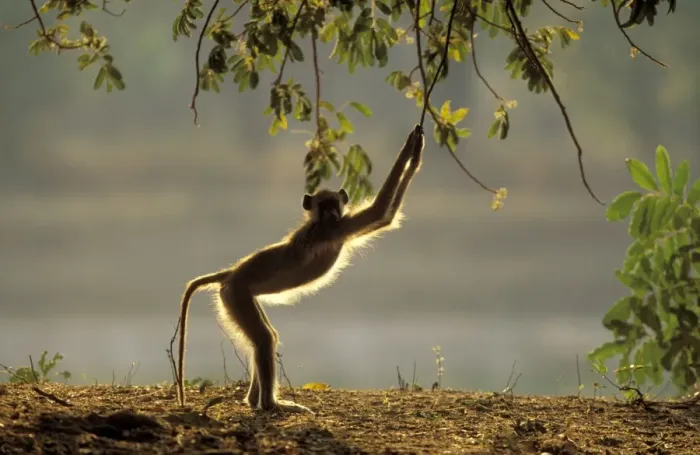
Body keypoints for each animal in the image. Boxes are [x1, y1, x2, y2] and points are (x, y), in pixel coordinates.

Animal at [176, 124, 425, 414]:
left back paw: (253, 400)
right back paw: (269, 404)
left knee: (266, 337)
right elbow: (380, 212)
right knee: (264, 339)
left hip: (236, 296)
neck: (321, 223)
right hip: (236, 293)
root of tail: (232, 272)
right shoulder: (335, 229)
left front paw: (416, 149)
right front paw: (412, 148)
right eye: (323, 206)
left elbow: (385, 217)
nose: (332, 214)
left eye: (334, 204)